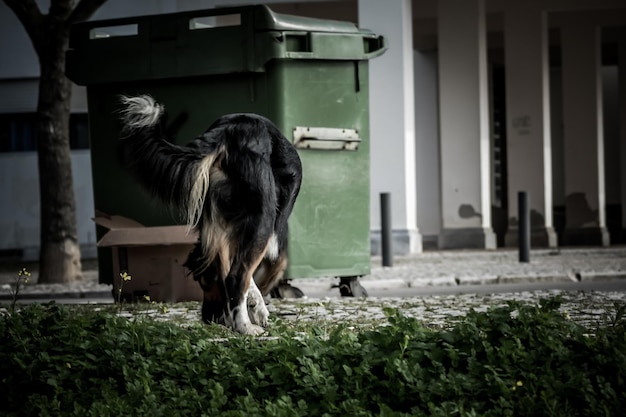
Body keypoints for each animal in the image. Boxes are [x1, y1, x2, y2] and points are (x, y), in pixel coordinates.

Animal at [119, 95, 302, 334]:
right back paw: (244, 327)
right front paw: (258, 310)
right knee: (235, 278)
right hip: (264, 218)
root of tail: (228, 130)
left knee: (230, 276)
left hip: (219, 224)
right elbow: (257, 272)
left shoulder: (221, 233)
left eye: (202, 281)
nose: (208, 318)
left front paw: (253, 305)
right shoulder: (270, 240)